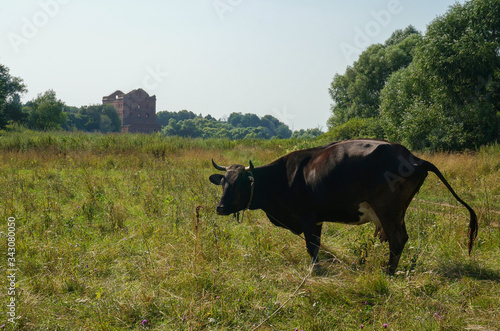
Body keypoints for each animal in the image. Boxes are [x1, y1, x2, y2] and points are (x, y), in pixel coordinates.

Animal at [209, 139, 478, 274]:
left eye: (240, 183)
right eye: (222, 182)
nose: (220, 208)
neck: (283, 178)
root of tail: (413, 158)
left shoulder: (308, 218)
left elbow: (312, 246)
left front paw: (314, 271)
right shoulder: (316, 219)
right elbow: (316, 246)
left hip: (388, 209)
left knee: (398, 239)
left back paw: (388, 272)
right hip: (397, 212)